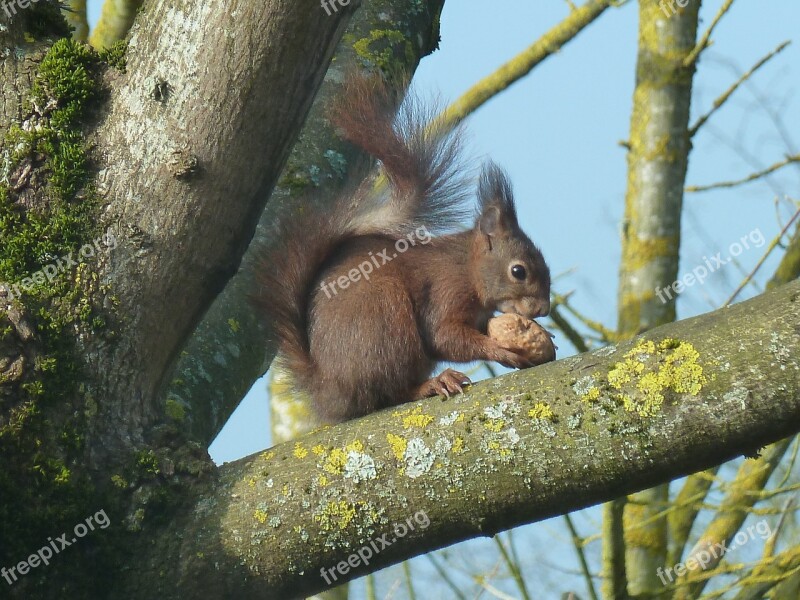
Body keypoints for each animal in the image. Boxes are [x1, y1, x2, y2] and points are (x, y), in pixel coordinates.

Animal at [256, 75, 552, 422]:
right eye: (519, 271)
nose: (543, 310)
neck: (468, 268)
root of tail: (330, 391)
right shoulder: (446, 290)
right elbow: (445, 336)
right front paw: (501, 350)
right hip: (386, 323)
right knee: (391, 393)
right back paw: (433, 384)